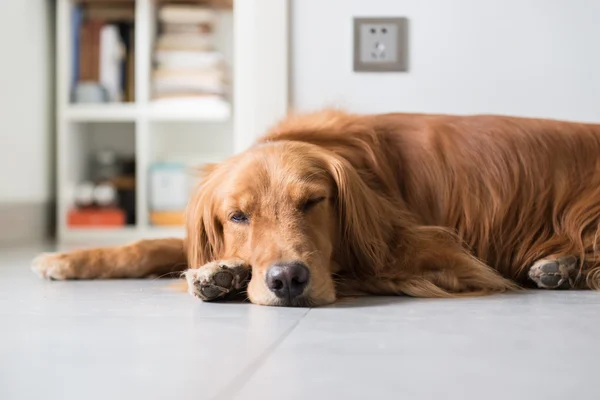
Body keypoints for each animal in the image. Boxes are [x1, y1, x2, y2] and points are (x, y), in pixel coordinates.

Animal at [32, 109, 600, 306]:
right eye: (237, 217)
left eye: (313, 202)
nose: (287, 280)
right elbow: (151, 244)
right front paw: (68, 259)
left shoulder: (446, 259)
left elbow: (361, 269)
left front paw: (223, 275)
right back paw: (559, 267)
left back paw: (563, 266)